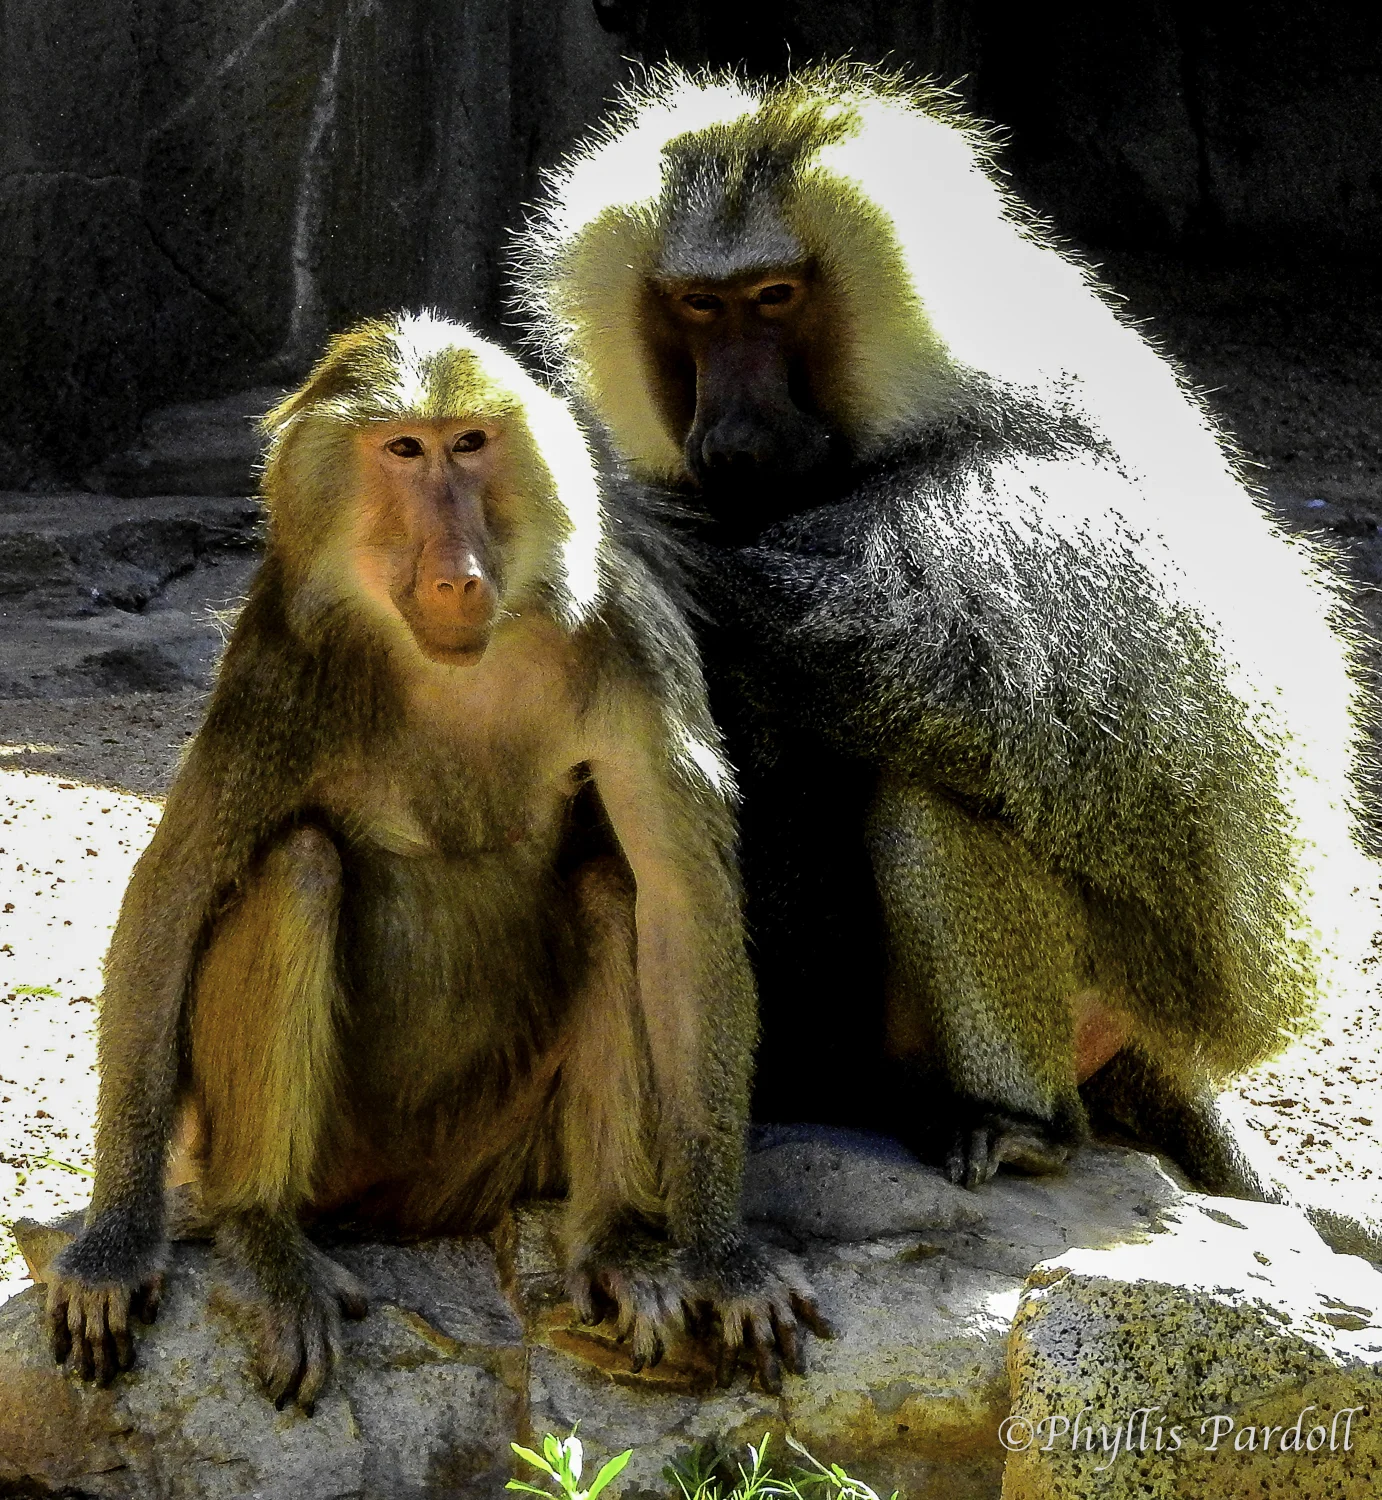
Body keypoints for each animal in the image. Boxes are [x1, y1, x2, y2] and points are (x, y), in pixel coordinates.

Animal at [43, 312, 825, 1410]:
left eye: (471, 445)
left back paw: (616, 1242)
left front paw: (724, 1258)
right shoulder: (278, 659)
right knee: (298, 868)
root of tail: (401, 1211)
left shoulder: (626, 630)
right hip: (328, 1153)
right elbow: (174, 895)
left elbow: (679, 906)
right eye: (403, 451)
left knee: (612, 892)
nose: (459, 571)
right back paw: (264, 1232)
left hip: (493, 1153)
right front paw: (114, 1248)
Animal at [511, 65, 1375, 1198]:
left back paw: (1018, 1123)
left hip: (1122, 996)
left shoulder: (1032, 491)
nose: (733, 442)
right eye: (699, 307)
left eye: (774, 299)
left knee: (931, 801)